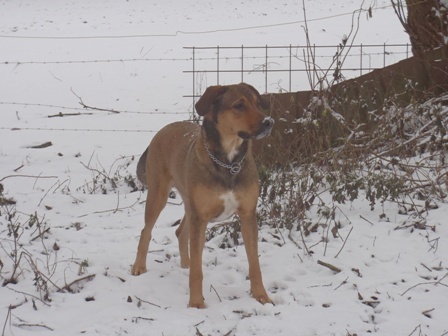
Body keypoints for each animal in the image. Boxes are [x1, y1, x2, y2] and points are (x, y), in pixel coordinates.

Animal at [131, 82, 274, 308]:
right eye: (239, 105)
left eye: (256, 103)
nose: (268, 122)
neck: (228, 162)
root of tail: (163, 129)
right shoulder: (201, 216)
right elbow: (198, 272)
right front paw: (196, 303)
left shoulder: (248, 215)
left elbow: (255, 263)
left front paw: (261, 295)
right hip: (159, 194)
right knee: (147, 230)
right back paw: (139, 266)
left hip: (190, 203)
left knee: (181, 232)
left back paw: (186, 263)